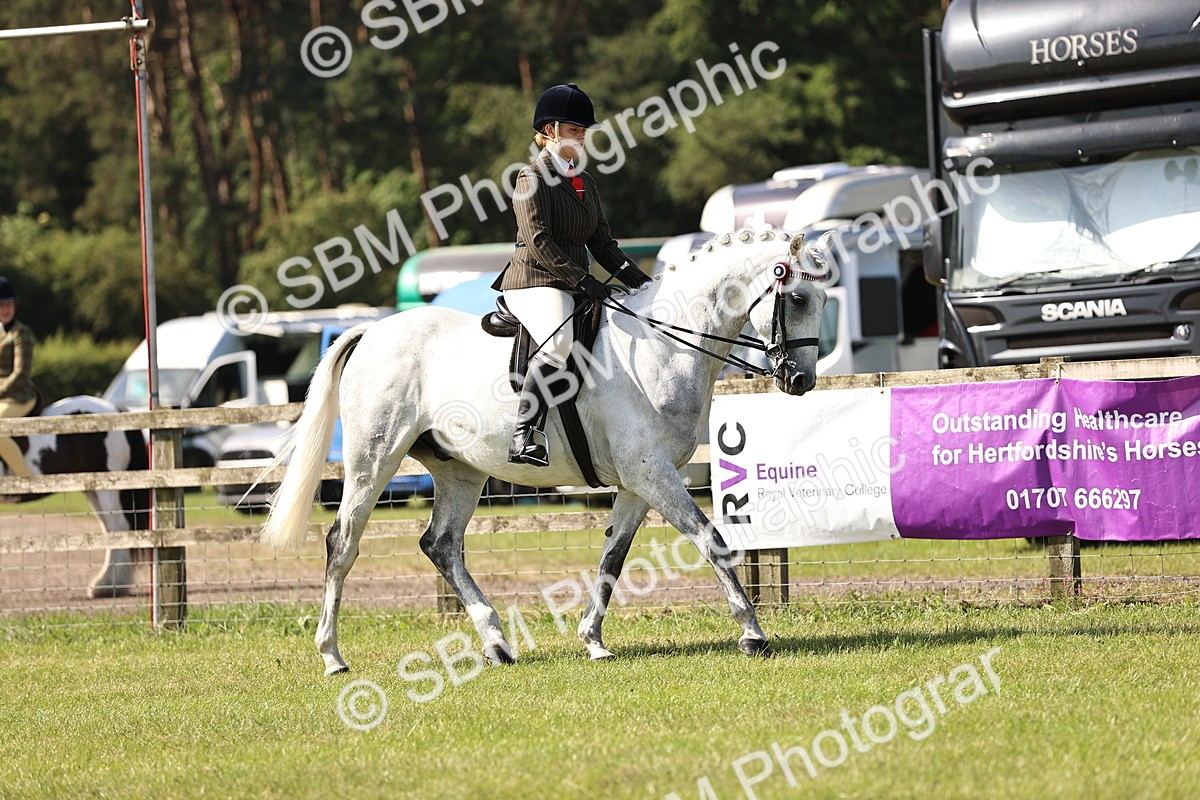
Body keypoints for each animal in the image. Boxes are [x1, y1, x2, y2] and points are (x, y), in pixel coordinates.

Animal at [0, 396, 150, 598]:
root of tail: (118, 410)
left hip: (107, 487)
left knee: (118, 527)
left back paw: (107, 586)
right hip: (93, 489)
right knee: (109, 529)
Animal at [261, 229, 830, 675]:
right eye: (800, 298)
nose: (800, 381)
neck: (663, 347)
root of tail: (373, 330)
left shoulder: (640, 481)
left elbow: (613, 557)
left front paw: (593, 641)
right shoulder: (653, 474)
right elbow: (711, 540)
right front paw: (753, 633)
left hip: (460, 471)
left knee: (441, 544)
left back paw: (496, 642)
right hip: (373, 459)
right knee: (343, 542)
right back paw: (332, 655)